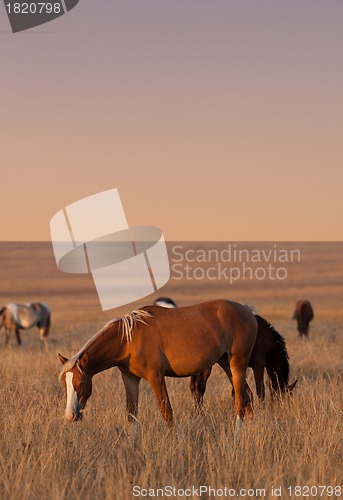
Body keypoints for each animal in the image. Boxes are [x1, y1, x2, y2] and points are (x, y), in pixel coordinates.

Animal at [59, 298, 258, 432]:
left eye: (81, 383)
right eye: (64, 385)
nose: (70, 415)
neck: (129, 339)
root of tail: (248, 312)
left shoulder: (156, 377)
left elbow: (166, 412)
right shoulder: (130, 378)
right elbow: (131, 414)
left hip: (237, 365)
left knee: (240, 401)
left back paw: (237, 436)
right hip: (226, 363)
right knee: (247, 396)